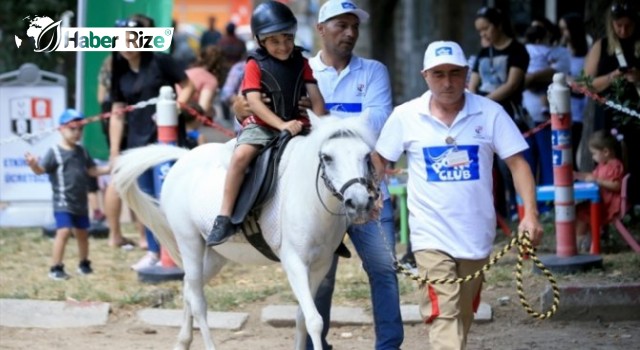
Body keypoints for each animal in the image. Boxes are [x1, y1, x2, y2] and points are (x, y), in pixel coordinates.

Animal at [112, 113, 378, 350]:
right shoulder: (294, 262)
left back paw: (182, 343)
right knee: (198, 301)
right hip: (189, 242)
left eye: (366, 156)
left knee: (188, 287)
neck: (308, 198)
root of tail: (184, 157)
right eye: (327, 157)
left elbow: (303, 317)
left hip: (215, 256)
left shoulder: (320, 265)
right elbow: (314, 320)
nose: (359, 202)